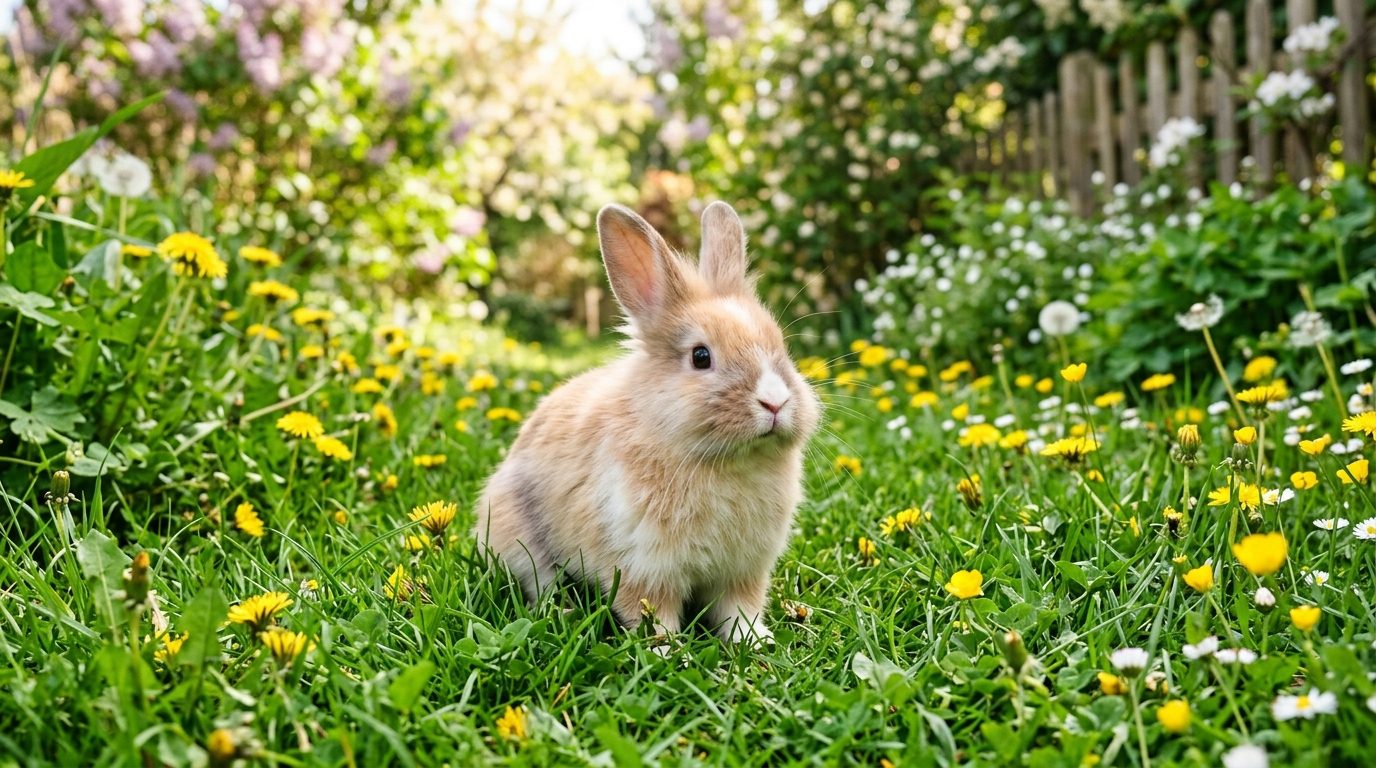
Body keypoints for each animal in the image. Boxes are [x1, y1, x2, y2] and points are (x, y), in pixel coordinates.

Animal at [474, 201, 821, 645]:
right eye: (701, 357)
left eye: (781, 348)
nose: (775, 402)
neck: (723, 461)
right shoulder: (644, 570)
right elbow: (654, 617)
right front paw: (670, 651)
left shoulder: (743, 572)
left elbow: (738, 612)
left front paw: (756, 642)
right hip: (520, 542)